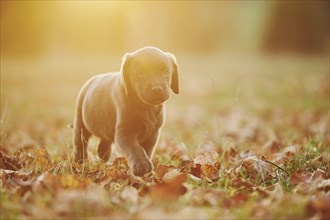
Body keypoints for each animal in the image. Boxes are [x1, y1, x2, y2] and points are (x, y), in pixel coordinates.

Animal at [73, 46, 179, 177]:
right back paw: (79, 163)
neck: (146, 107)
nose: (157, 89)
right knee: (80, 144)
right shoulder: (124, 133)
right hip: (80, 124)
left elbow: (147, 150)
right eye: (141, 72)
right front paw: (142, 166)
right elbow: (135, 148)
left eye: (166, 71)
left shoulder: (153, 134)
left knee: (104, 145)